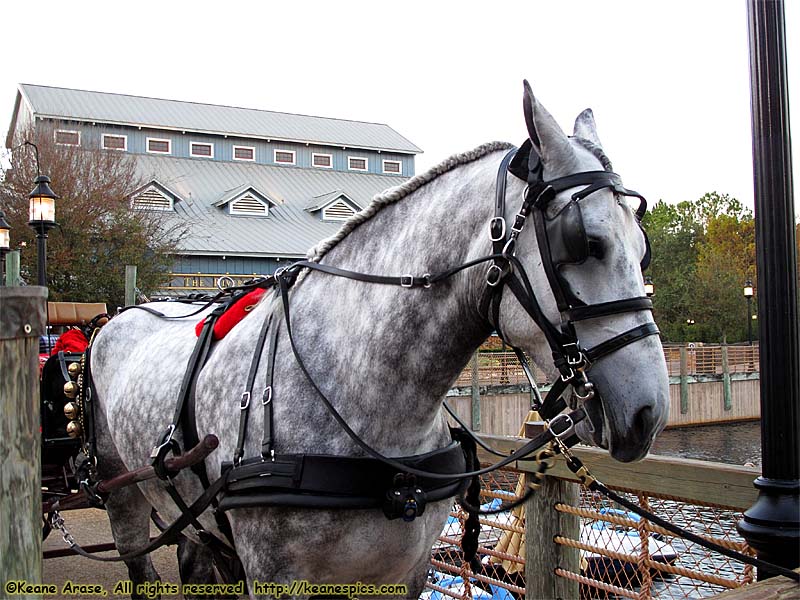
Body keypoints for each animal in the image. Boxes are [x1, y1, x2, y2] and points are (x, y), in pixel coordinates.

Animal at [87, 82, 668, 596]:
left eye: (643, 249)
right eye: (583, 242)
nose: (650, 413)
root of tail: (115, 318)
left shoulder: (405, 570)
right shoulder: (278, 576)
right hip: (124, 498)